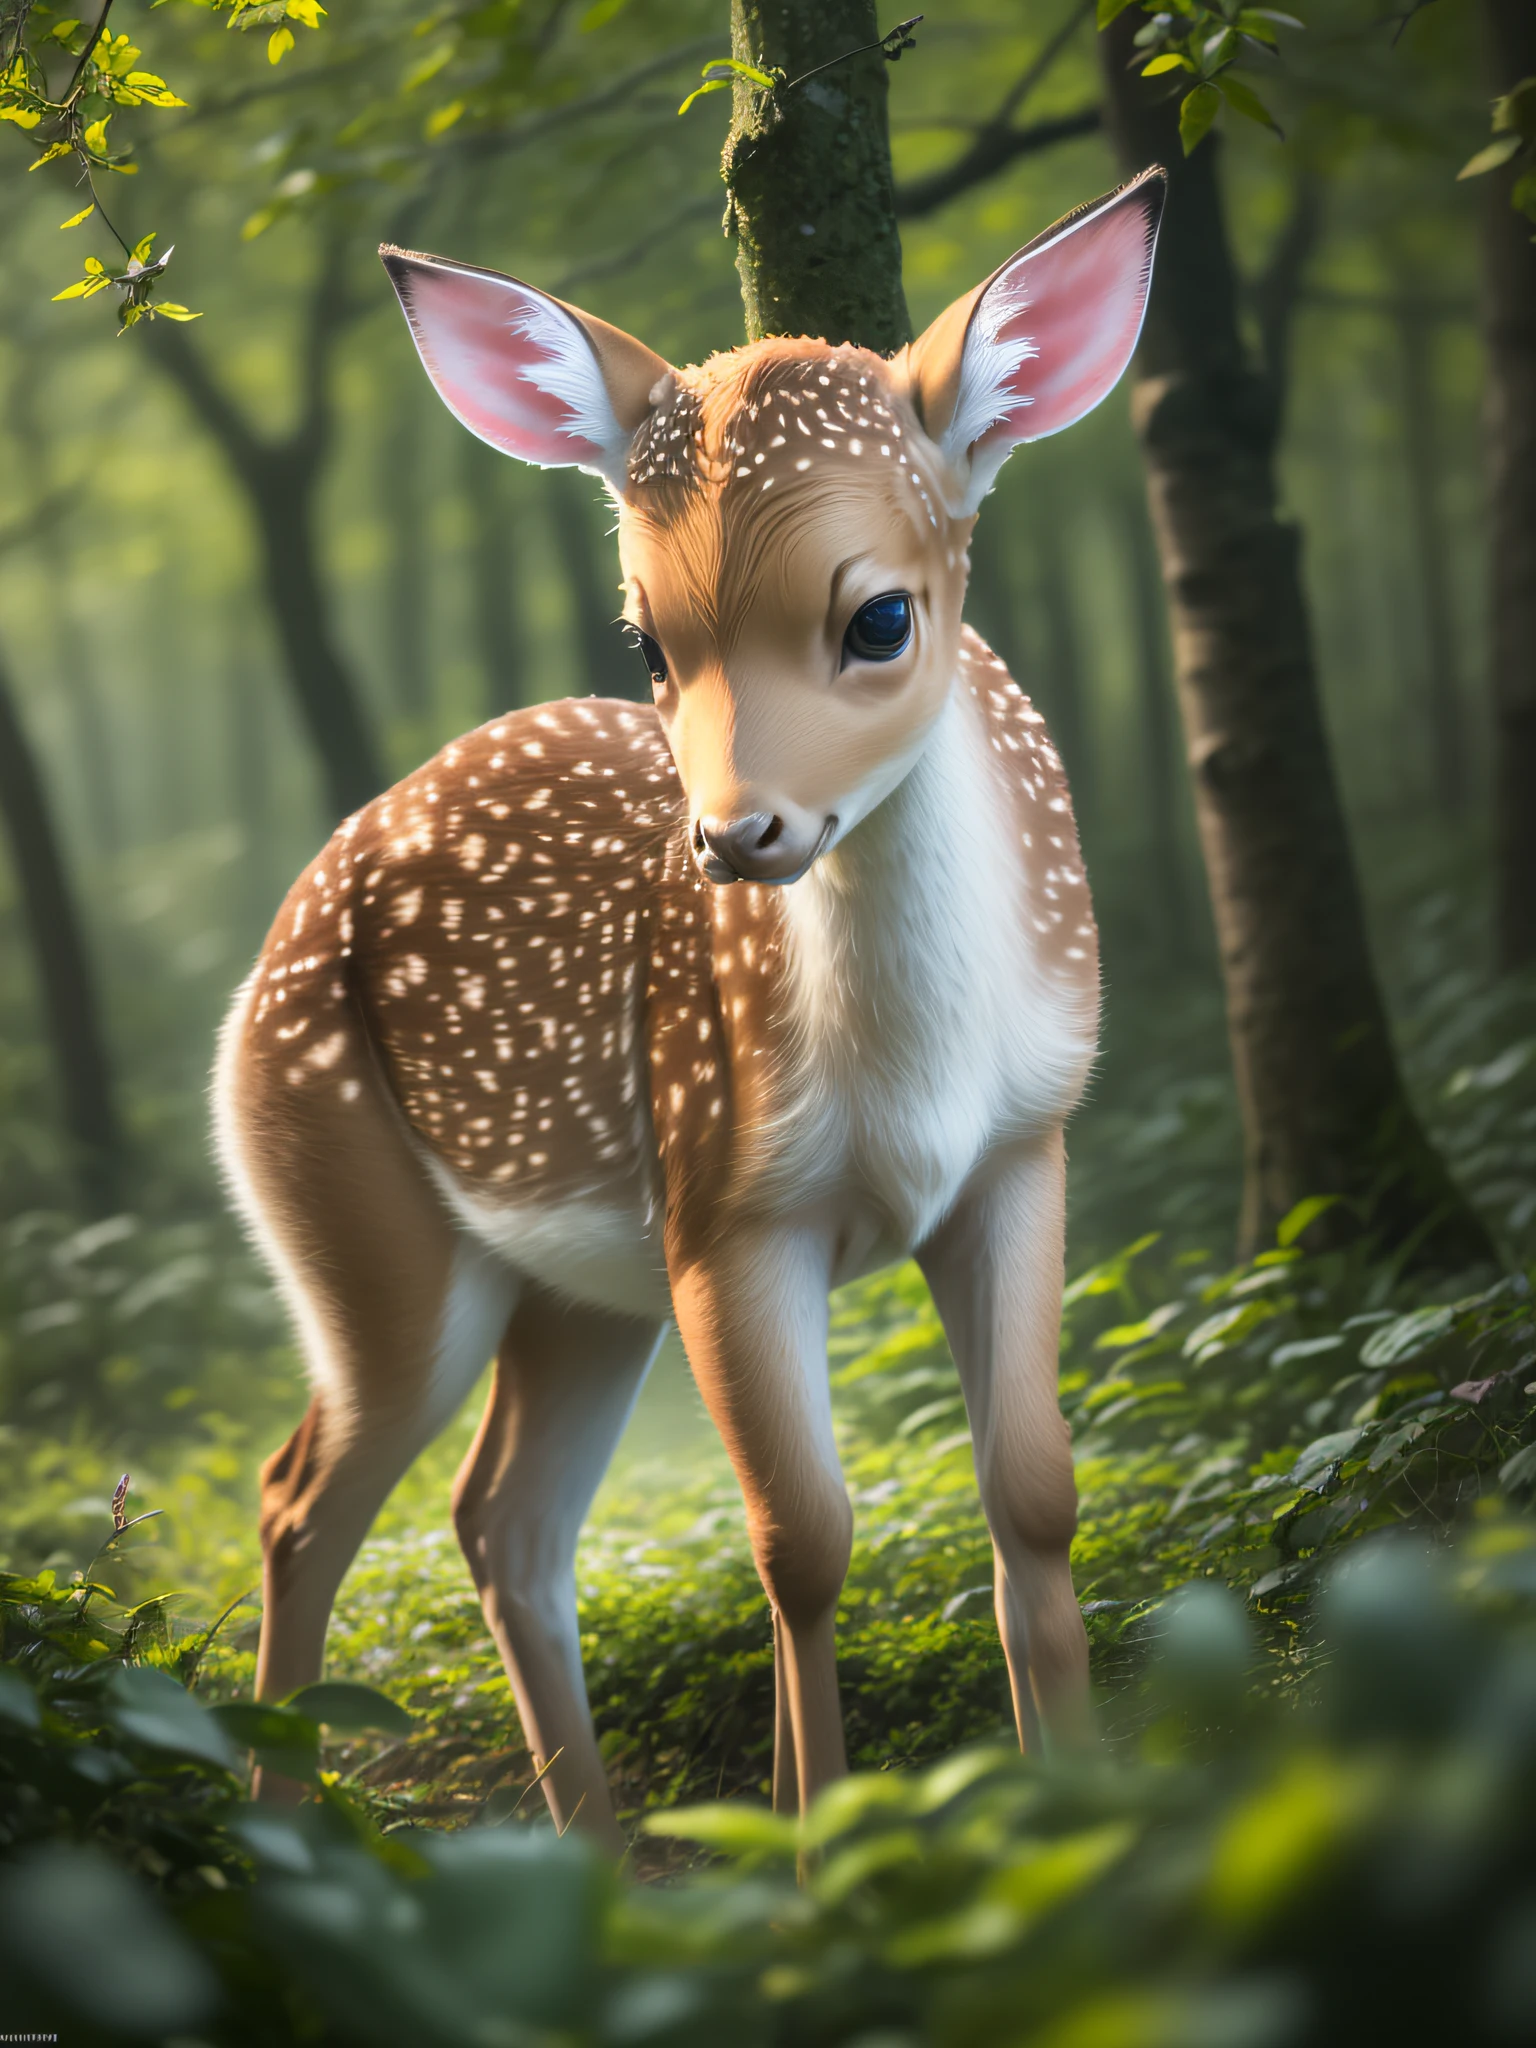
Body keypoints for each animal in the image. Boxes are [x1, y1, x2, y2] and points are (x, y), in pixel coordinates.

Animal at [219, 167, 1163, 1851]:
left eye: (879, 618)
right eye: (645, 640)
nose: (735, 837)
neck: (909, 1083)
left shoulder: (1025, 1148)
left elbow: (1035, 1493)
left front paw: (1073, 1816)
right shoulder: (728, 1203)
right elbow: (801, 1539)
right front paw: (821, 1851)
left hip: (582, 1290)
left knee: (500, 1516)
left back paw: (593, 1853)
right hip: (357, 1216)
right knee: (301, 1499)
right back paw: (285, 1833)